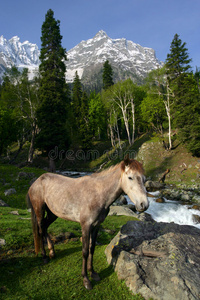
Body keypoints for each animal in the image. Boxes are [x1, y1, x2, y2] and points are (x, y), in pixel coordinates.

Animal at [26, 156, 148, 290]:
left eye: (144, 179)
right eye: (130, 177)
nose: (144, 204)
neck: (98, 194)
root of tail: (36, 182)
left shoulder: (96, 226)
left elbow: (92, 248)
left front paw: (93, 273)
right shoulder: (86, 226)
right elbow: (84, 251)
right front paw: (86, 279)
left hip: (53, 213)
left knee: (45, 227)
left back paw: (52, 251)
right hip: (39, 211)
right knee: (40, 230)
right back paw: (44, 257)